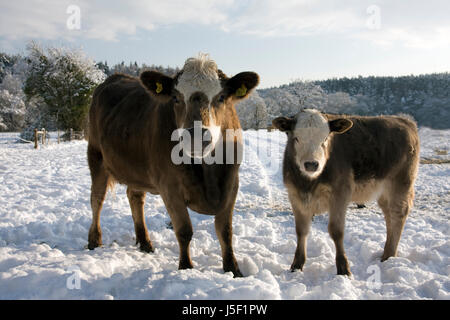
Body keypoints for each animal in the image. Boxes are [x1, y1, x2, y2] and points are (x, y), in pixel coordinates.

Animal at [87, 53, 260, 276]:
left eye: (221, 97)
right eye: (176, 98)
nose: (196, 136)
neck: (208, 172)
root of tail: (114, 77)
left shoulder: (231, 184)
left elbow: (225, 231)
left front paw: (233, 270)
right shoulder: (169, 187)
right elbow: (184, 230)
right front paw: (186, 268)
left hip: (136, 169)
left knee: (135, 197)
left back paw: (145, 242)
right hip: (96, 156)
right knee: (97, 199)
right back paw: (94, 241)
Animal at [272, 108, 420, 276]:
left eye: (325, 138)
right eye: (296, 138)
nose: (311, 164)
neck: (309, 183)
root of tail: (404, 120)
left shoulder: (340, 194)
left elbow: (336, 231)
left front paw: (343, 268)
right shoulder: (295, 196)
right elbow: (301, 230)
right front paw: (297, 265)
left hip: (401, 184)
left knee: (398, 215)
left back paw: (389, 256)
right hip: (384, 192)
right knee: (389, 216)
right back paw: (386, 253)